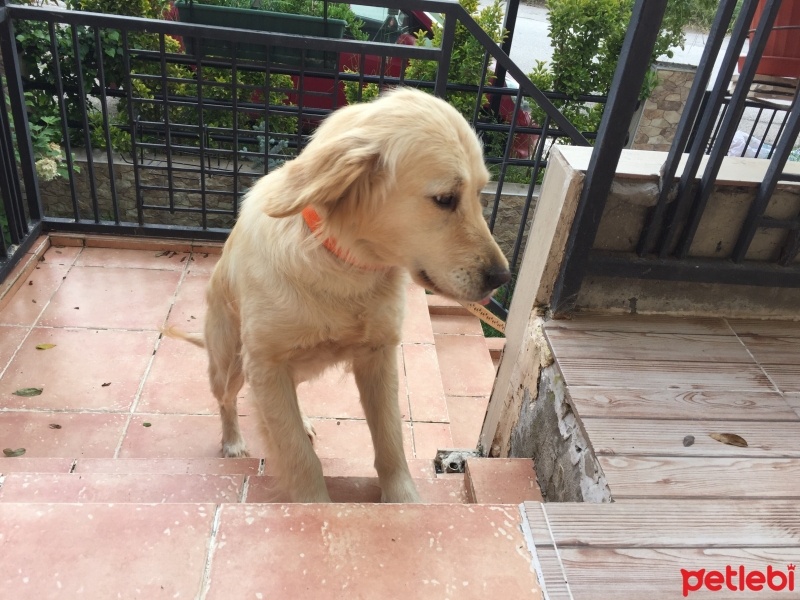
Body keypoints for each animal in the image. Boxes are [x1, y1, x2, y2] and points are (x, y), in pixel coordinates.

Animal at [171, 89, 510, 502]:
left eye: (479, 194)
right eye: (445, 198)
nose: (503, 277)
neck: (345, 266)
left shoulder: (379, 357)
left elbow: (390, 440)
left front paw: (403, 500)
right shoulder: (265, 364)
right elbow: (296, 454)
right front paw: (314, 504)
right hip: (230, 363)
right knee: (226, 401)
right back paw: (233, 441)